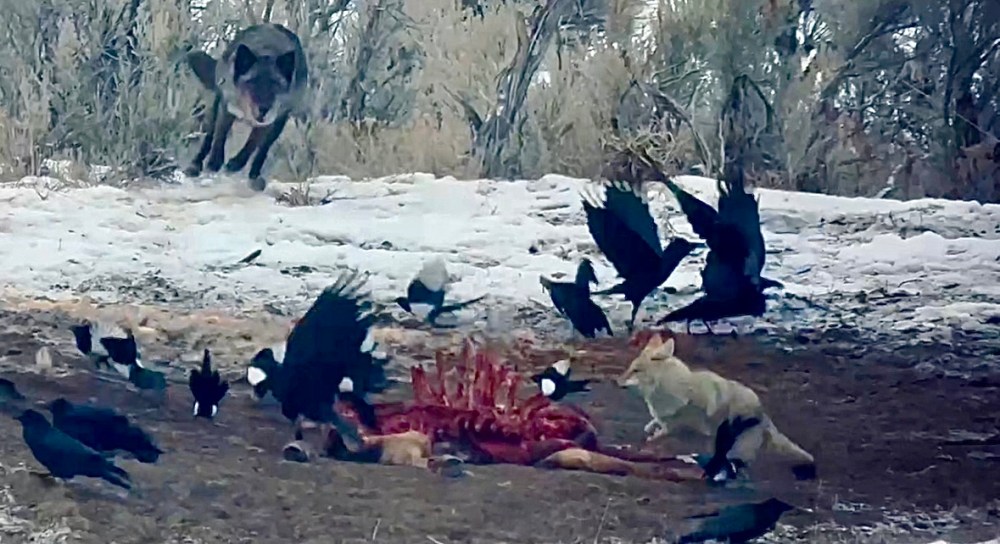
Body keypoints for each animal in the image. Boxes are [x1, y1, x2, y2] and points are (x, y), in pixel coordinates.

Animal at [184, 23, 308, 193]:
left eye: (276, 84)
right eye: (252, 82)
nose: (264, 109)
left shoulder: (270, 122)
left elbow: (252, 145)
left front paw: (235, 164)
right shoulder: (227, 107)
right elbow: (219, 137)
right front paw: (214, 163)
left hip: (278, 125)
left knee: (262, 151)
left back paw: (254, 177)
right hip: (215, 108)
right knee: (209, 136)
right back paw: (195, 165)